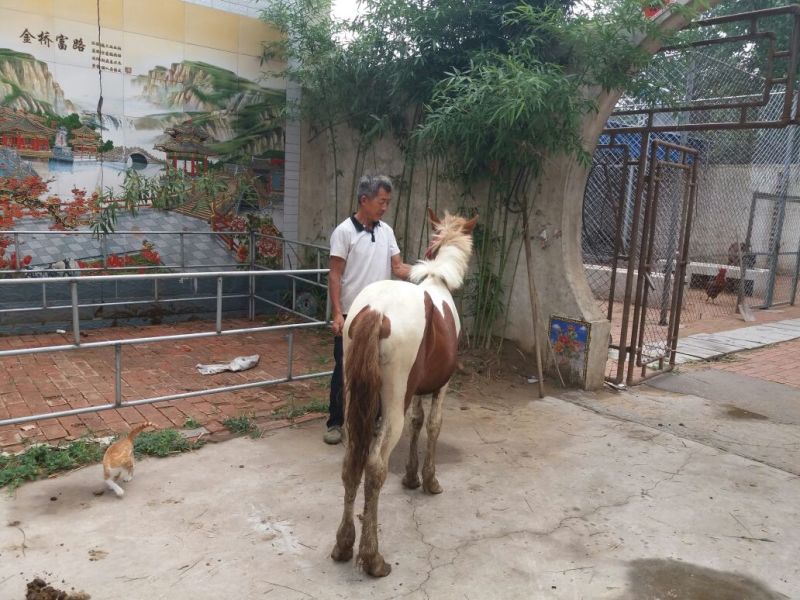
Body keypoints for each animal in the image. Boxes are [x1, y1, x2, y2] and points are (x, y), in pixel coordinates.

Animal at [331, 208, 478, 577]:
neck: (437, 283)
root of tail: (376, 311)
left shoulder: (419, 390)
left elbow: (417, 423)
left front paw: (411, 477)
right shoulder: (441, 388)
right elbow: (432, 425)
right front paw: (429, 480)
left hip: (355, 399)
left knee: (351, 463)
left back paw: (343, 545)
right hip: (393, 404)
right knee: (375, 467)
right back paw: (372, 557)